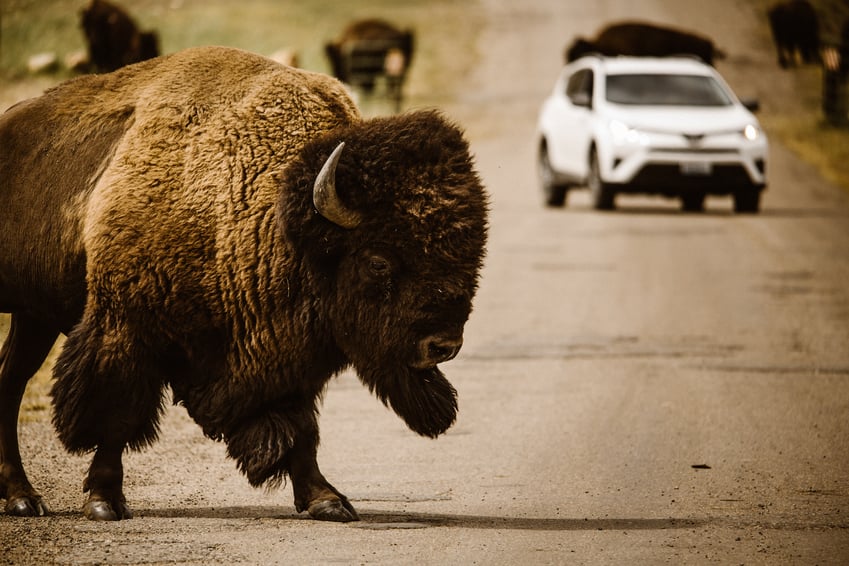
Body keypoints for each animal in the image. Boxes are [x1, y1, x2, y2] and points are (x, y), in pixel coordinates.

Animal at [0, 44, 486, 524]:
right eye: (379, 261)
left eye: (469, 256)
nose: (443, 345)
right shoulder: (126, 330)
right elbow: (115, 417)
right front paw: (104, 502)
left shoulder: (284, 356)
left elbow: (299, 429)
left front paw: (327, 500)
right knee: (15, 383)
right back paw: (25, 498)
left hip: (34, 317)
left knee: (10, 377)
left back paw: (23, 498)